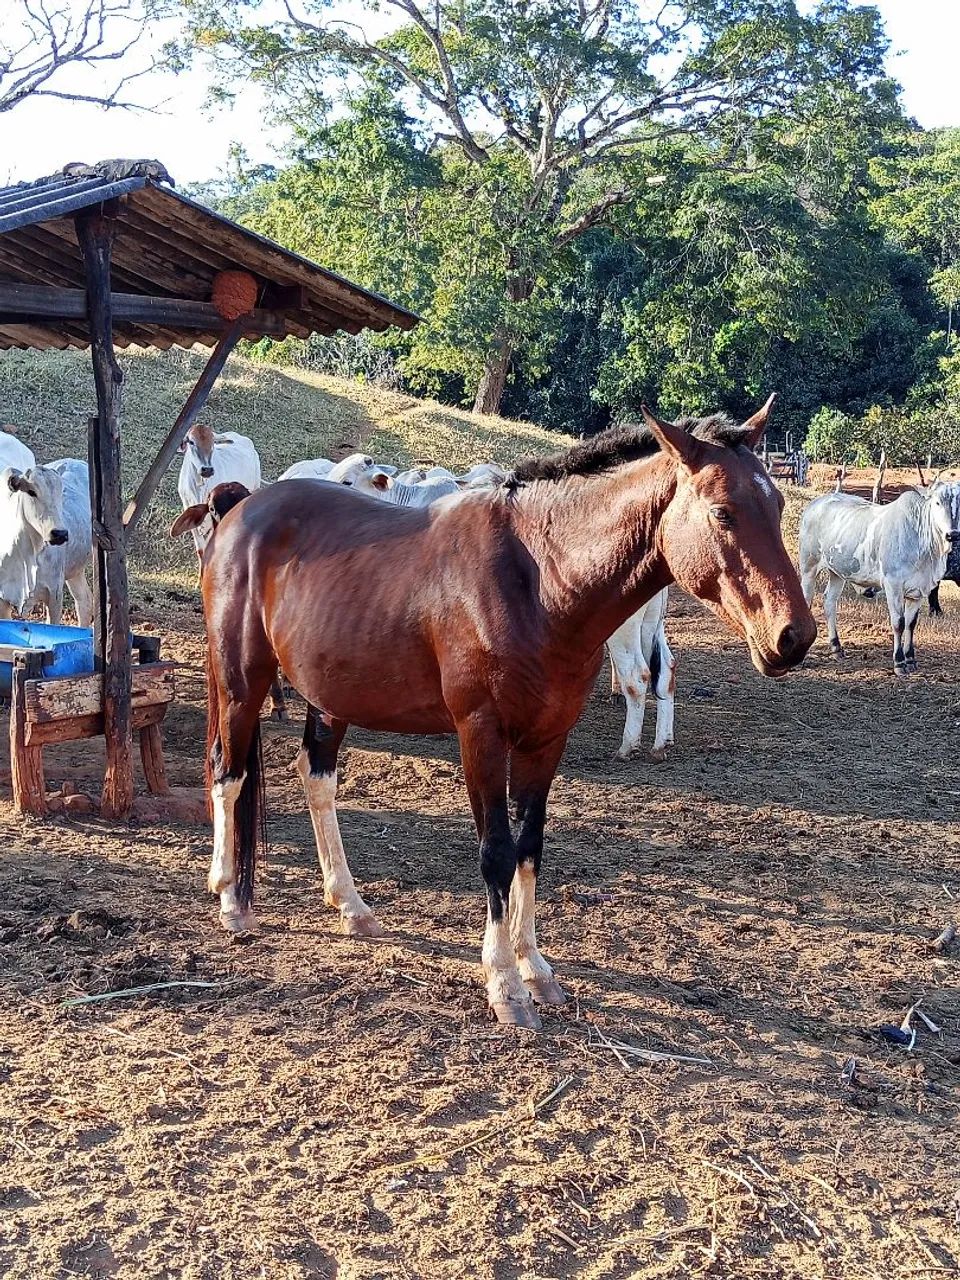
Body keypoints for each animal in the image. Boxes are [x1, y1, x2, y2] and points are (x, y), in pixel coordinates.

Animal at [201, 398, 815, 1029]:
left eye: (778, 505)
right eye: (723, 512)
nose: (793, 637)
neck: (538, 581)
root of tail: (239, 512)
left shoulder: (546, 740)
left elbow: (529, 849)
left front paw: (535, 969)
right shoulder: (482, 735)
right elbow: (496, 852)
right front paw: (503, 983)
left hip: (330, 695)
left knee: (316, 778)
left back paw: (349, 904)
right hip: (240, 679)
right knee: (229, 771)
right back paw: (230, 897)